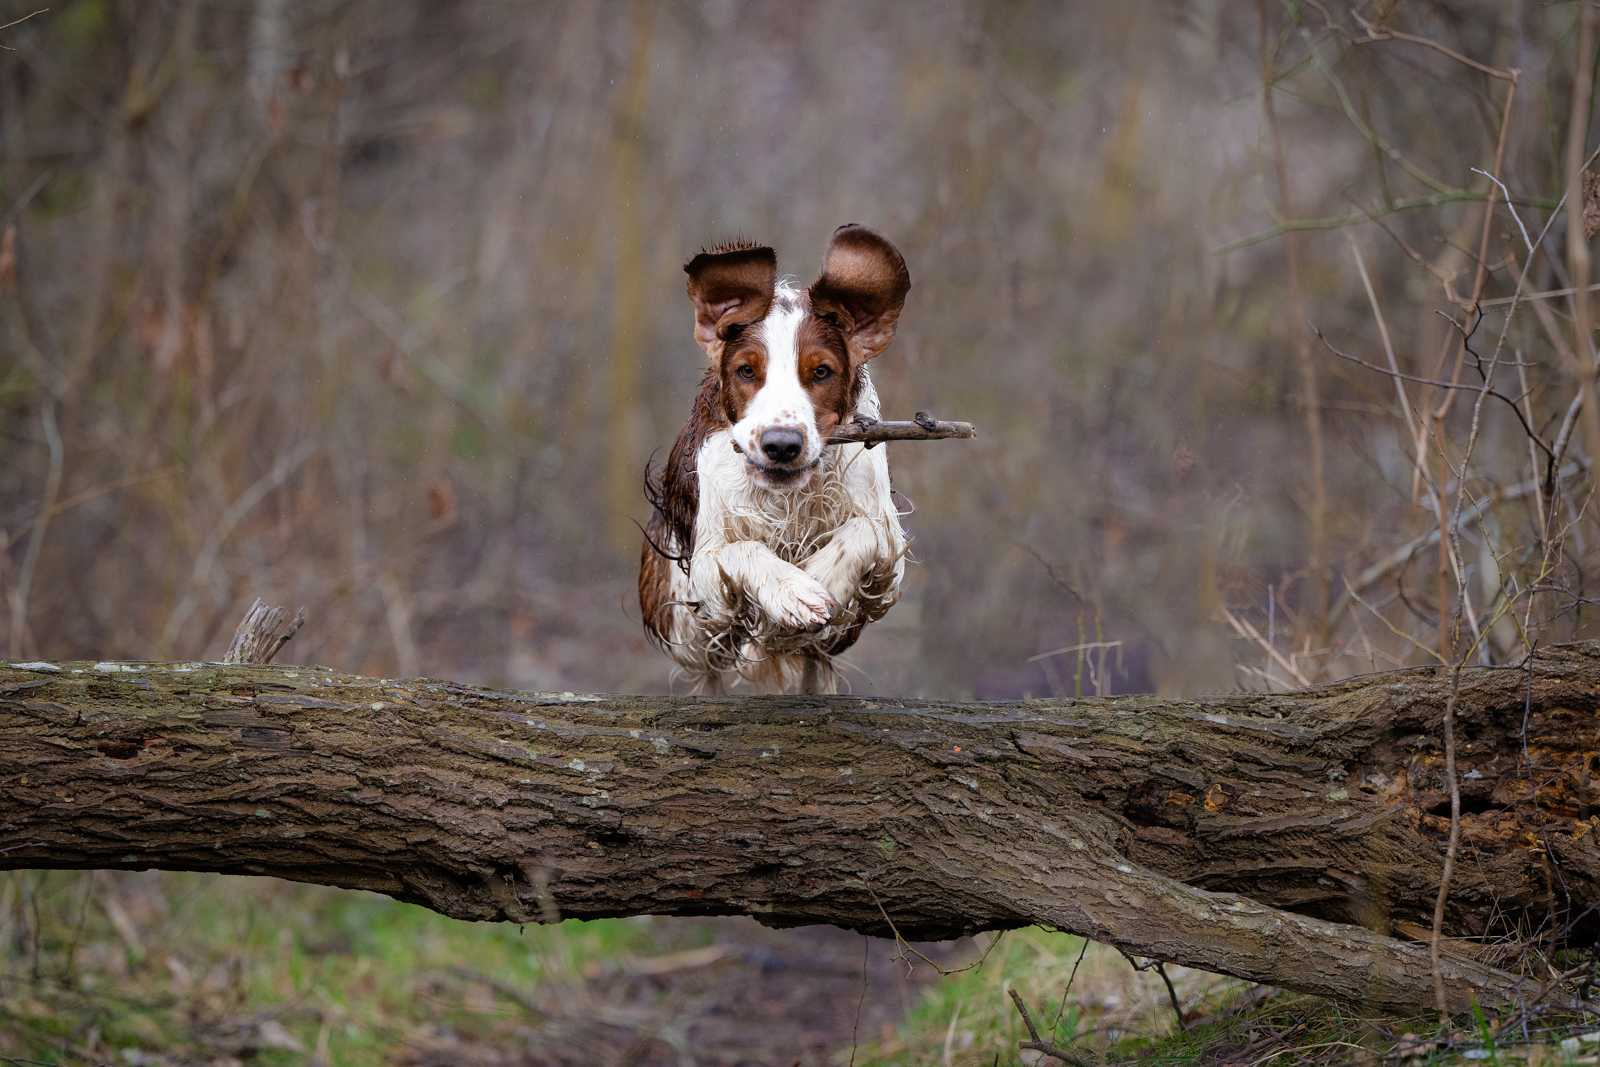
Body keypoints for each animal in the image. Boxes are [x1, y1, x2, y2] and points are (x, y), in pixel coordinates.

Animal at [636, 220, 915, 697]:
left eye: (821, 372)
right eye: (746, 371)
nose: (782, 445)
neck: (788, 496)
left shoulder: (888, 560)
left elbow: (868, 531)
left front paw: (819, 579)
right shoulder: (704, 565)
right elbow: (740, 549)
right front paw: (794, 591)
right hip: (681, 620)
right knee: (708, 671)